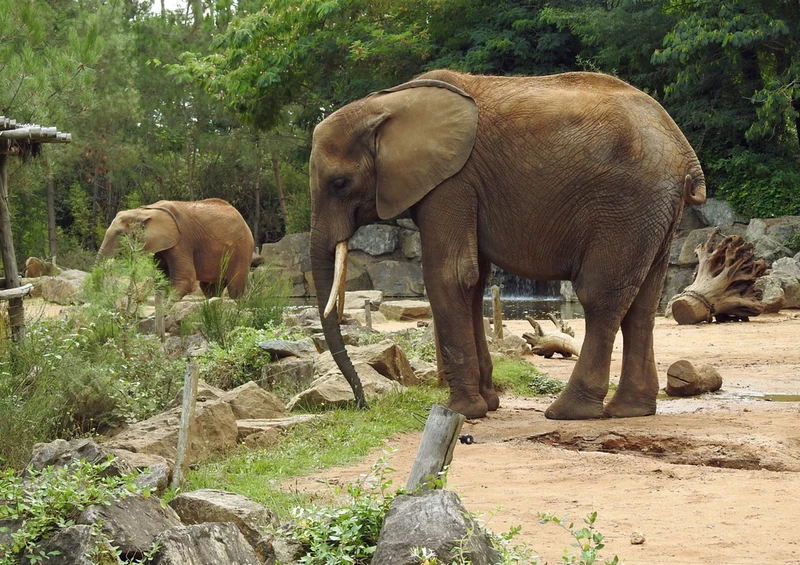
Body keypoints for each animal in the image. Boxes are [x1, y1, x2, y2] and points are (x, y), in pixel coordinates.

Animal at [98, 198, 255, 299]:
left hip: (242, 249)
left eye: (120, 235)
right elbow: (161, 278)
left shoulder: (182, 241)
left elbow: (185, 280)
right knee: (210, 288)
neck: (144, 211)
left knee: (235, 287)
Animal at [309, 69, 706, 420]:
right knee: (643, 302)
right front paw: (488, 404)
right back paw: (630, 410)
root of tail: (685, 153)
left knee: (600, 296)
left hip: (626, 206)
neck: (385, 103)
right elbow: (474, 280)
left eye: (340, 184)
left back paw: (568, 412)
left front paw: (461, 411)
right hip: (653, 214)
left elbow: (450, 274)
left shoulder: (452, 182)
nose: (362, 403)